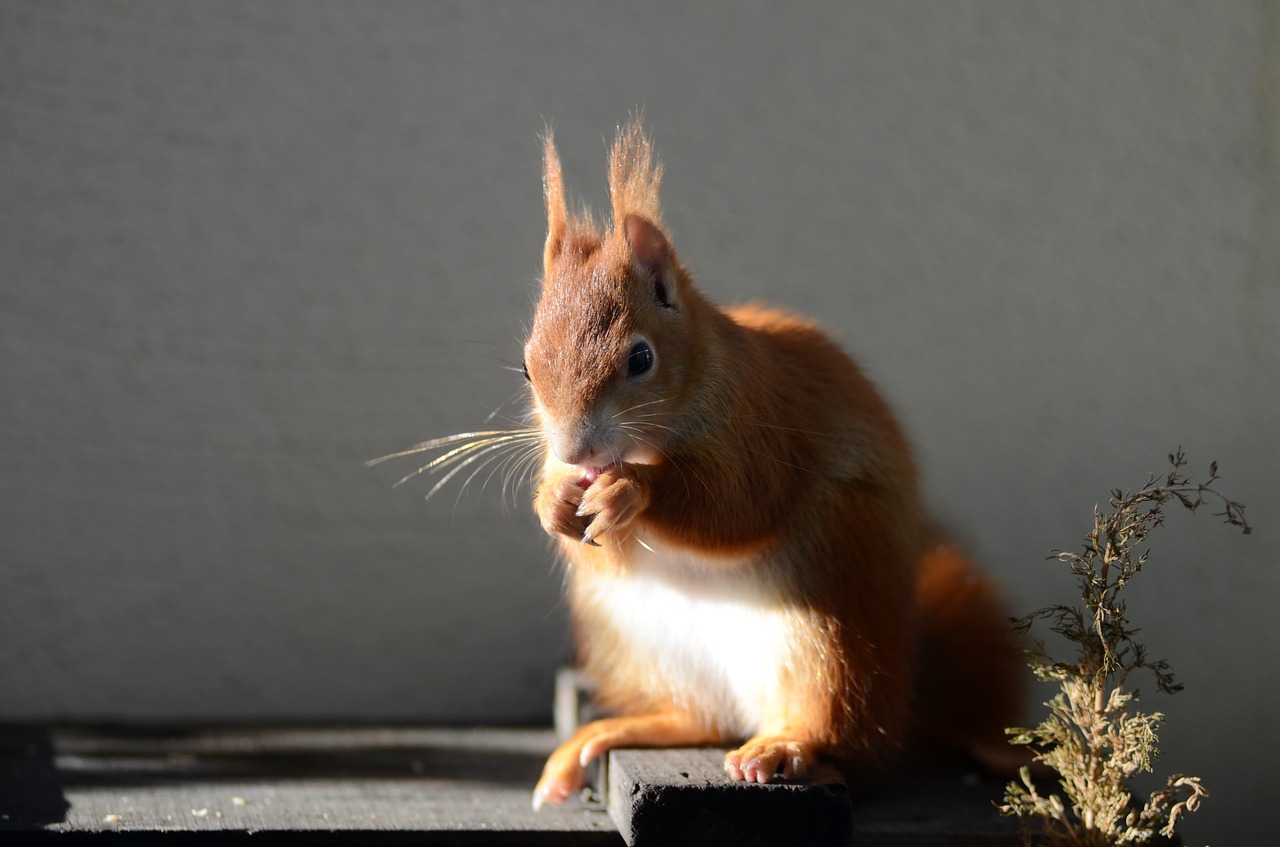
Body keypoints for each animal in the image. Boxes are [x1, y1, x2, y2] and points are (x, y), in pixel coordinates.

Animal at [514, 122, 1024, 813]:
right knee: (698, 719)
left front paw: (631, 490)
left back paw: (784, 745)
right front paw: (553, 499)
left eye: (641, 359)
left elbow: (737, 505)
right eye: (526, 367)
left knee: (838, 727)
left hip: (832, 611)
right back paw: (608, 734)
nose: (575, 453)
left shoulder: (760, 424)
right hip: (635, 635)